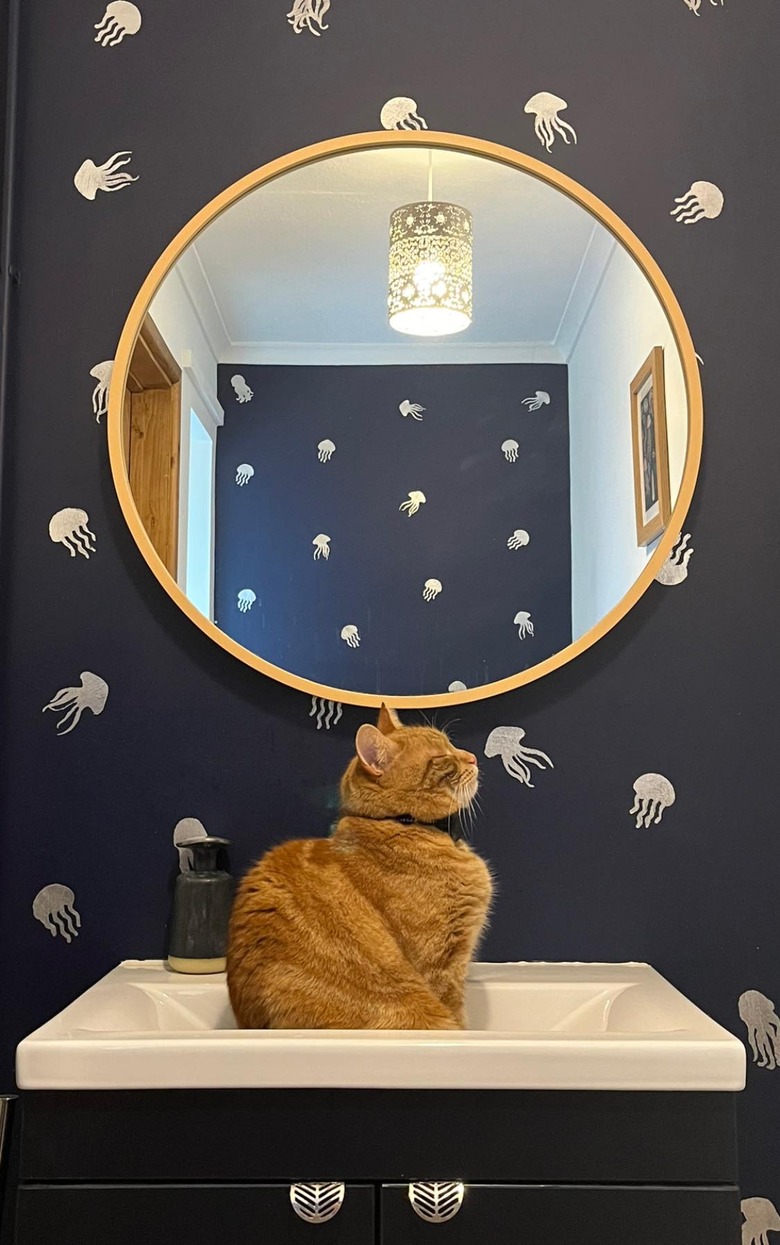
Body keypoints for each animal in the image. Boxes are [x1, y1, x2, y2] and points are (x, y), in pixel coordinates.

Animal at [227, 707, 495, 1025]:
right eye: (442, 757)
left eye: (450, 743)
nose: (473, 757)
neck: (401, 824)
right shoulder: (441, 967)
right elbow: (457, 1016)